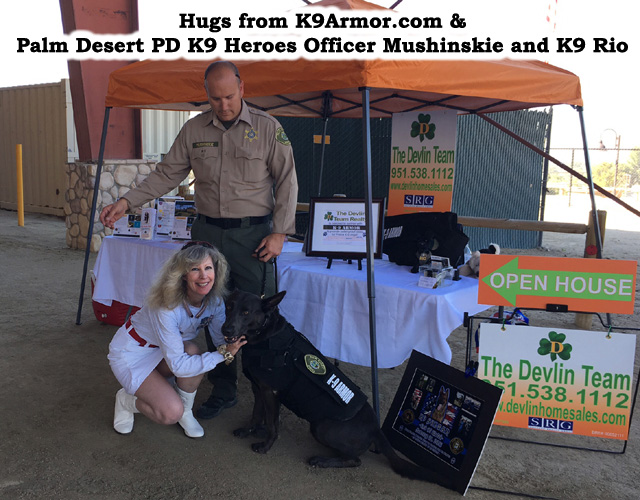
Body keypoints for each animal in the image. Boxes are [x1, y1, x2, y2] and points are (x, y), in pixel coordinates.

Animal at [222, 292, 448, 482]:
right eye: (229, 306)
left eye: (246, 312)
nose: (226, 329)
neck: (264, 334)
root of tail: (376, 428)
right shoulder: (258, 389)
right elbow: (256, 415)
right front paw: (249, 430)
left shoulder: (271, 392)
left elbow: (272, 424)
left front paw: (266, 446)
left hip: (321, 427)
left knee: (355, 460)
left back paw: (322, 461)